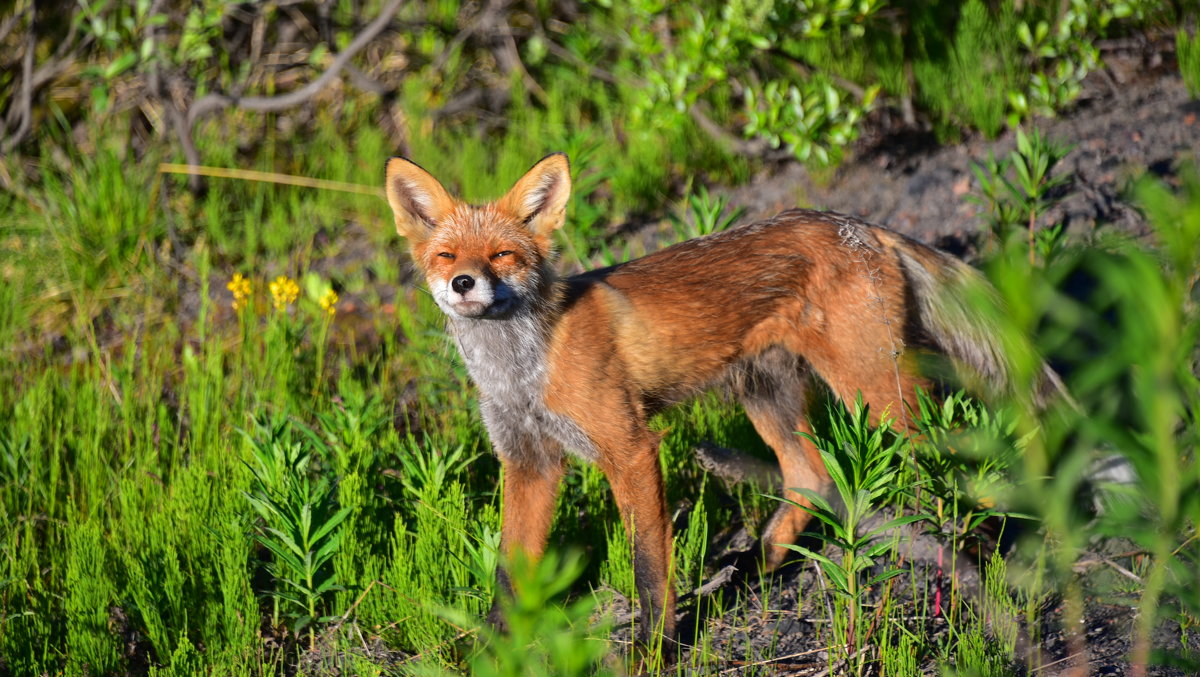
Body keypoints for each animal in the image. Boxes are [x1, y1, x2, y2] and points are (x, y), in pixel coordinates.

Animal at [381, 151, 1060, 648]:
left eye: (502, 254)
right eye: (445, 255)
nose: (462, 282)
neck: (521, 371)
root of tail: (861, 225)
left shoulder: (630, 447)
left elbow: (649, 570)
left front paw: (656, 649)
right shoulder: (530, 462)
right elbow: (508, 573)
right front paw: (491, 653)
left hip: (876, 392)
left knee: (948, 461)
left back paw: (973, 560)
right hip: (768, 397)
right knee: (811, 478)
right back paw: (750, 569)